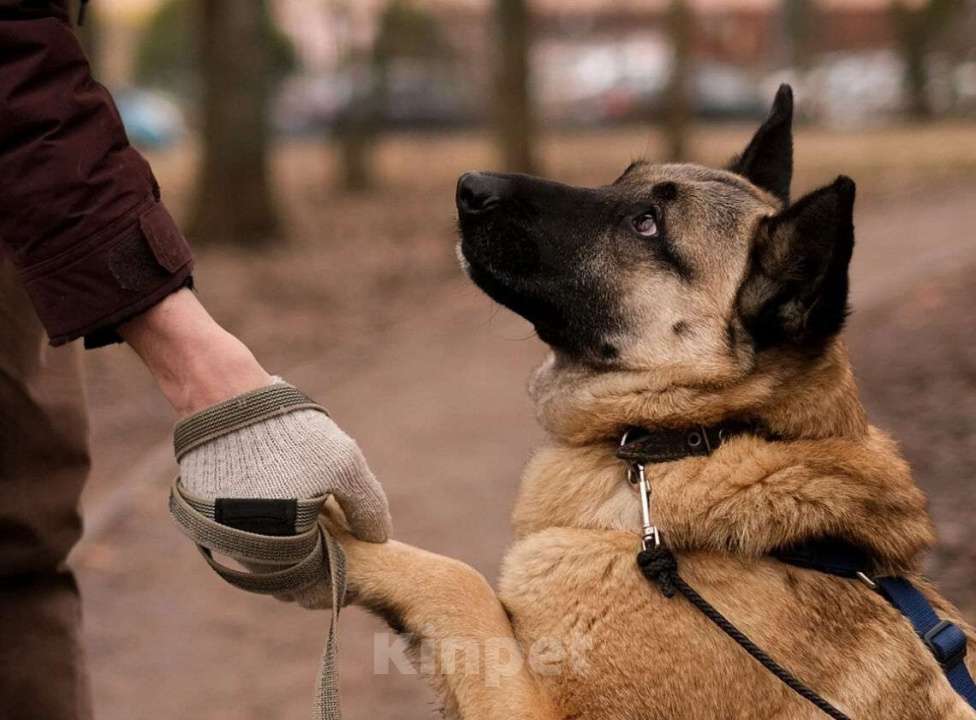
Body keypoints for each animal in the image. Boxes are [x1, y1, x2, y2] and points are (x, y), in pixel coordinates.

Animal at [328, 87, 976, 716]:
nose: (469, 185)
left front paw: (333, 536)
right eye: (622, 179)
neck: (700, 435)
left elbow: (458, 582)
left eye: (647, 226)